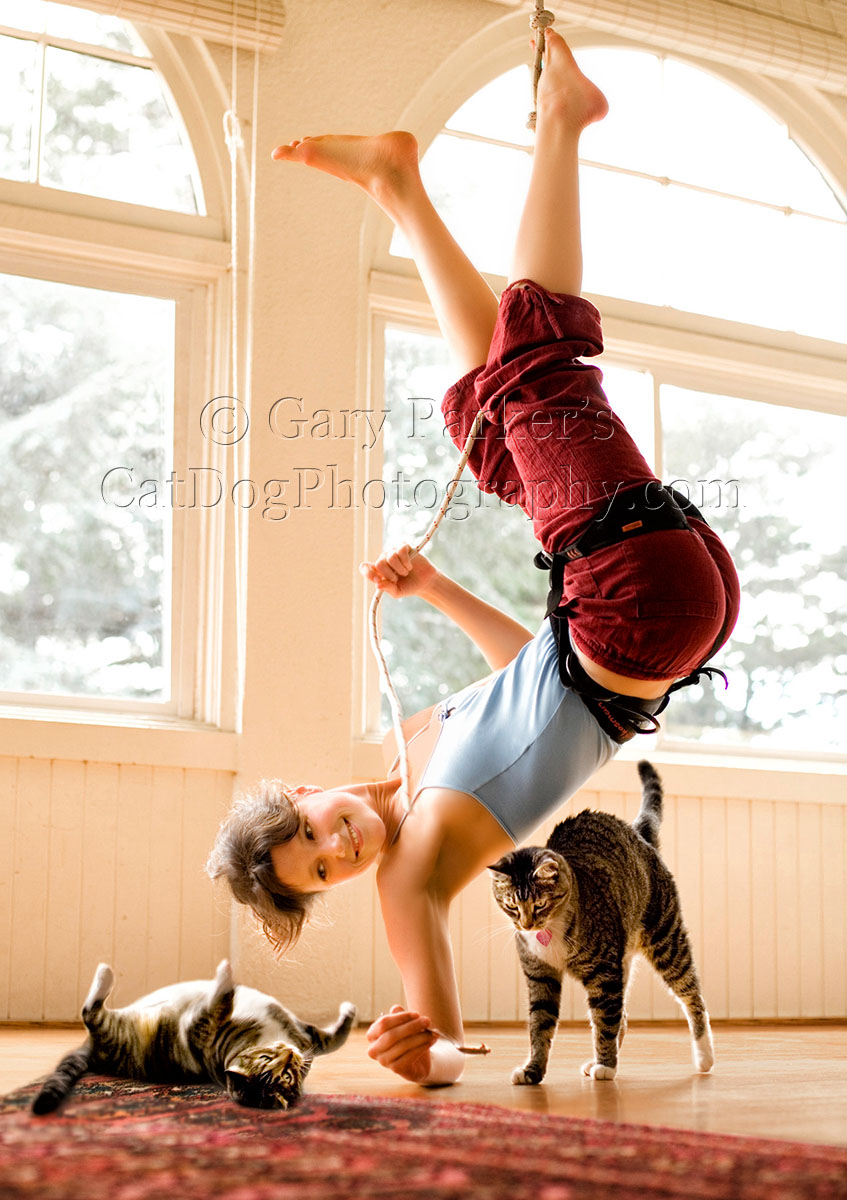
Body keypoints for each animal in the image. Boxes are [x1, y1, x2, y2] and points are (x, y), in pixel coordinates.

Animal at [31, 955, 355, 1113]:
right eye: (265, 1059)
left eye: (285, 1077)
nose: (290, 1054)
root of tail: (93, 1051)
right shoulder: (304, 1035)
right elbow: (333, 1038)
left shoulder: (200, 1028)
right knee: (90, 1011)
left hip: (115, 1030)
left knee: (91, 1012)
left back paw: (105, 973)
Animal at [489, 763, 710, 1084]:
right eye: (511, 907)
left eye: (540, 904)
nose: (527, 926)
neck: (550, 929)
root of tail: (637, 833)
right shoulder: (540, 974)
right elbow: (540, 1023)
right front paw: (533, 1070)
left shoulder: (604, 974)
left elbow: (605, 1019)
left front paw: (606, 1066)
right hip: (623, 957)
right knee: (623, 1016)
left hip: (665, 939)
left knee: (692, 996)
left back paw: (704, 1057)